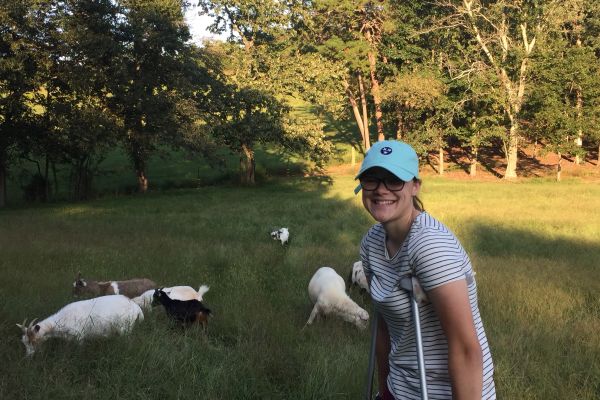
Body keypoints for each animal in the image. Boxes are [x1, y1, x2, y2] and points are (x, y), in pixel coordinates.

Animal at [16, 294, 144, 356]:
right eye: (24, 342)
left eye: (32, 341)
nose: (28, 356)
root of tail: (136, 307)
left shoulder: (79, 337)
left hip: (125, 329)